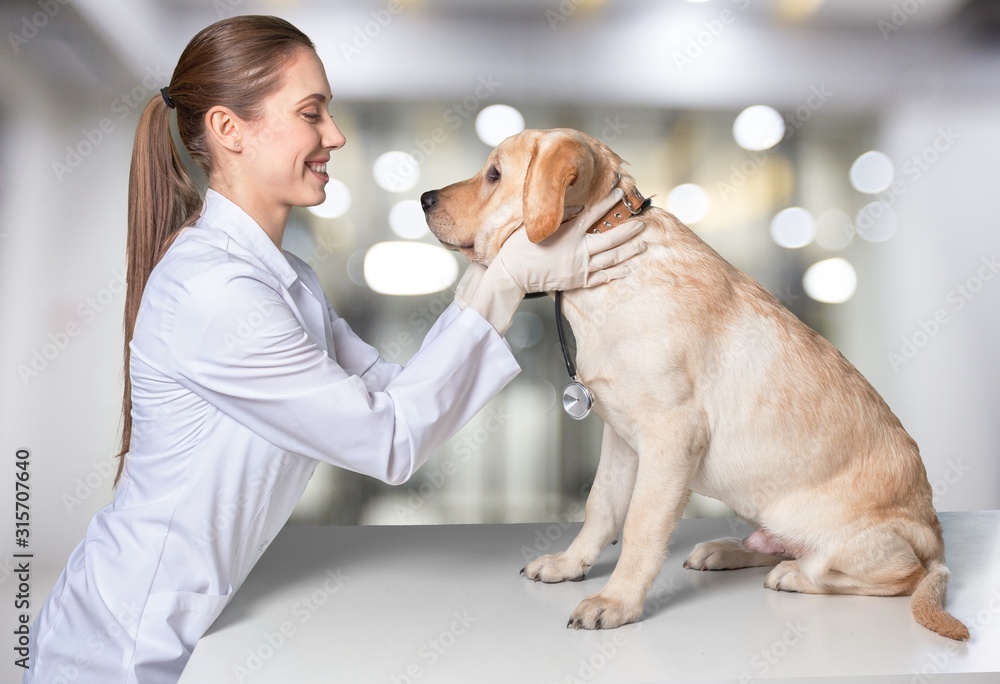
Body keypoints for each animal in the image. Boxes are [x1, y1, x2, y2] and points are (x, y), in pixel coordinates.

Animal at [420, 128, 968, 640]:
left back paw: (797, 574)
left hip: (850, 540)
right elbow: (600, 507)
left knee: (893, 575)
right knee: (772, 546)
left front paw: (617, 600)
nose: (424, 198)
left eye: (494, 174)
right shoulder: (621, 436)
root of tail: (936, 536)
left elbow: (641, 525)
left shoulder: (672, 436)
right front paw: (570, 564)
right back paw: (726, 551)